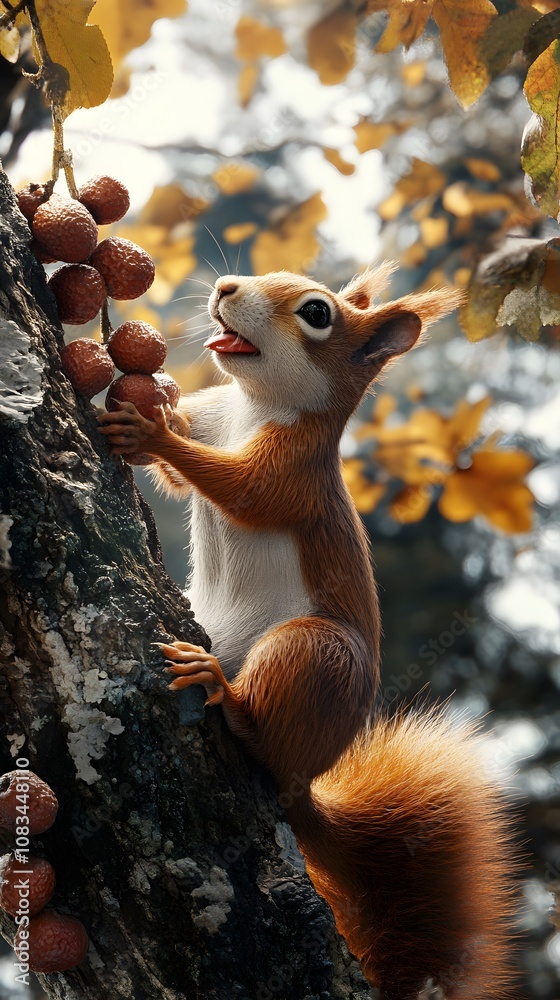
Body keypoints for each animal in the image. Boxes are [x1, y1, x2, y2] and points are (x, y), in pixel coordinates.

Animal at [98, 263, 519, 999]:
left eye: (317, 314)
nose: (226, 287)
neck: (250, 406)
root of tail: (307, 782)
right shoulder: (218, 417)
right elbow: (181, 478)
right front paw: (159, 402)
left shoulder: (291, 472)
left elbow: (238, 488)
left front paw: (152, 433)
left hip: (316, 655)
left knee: (263, 736)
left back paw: (222, 688)